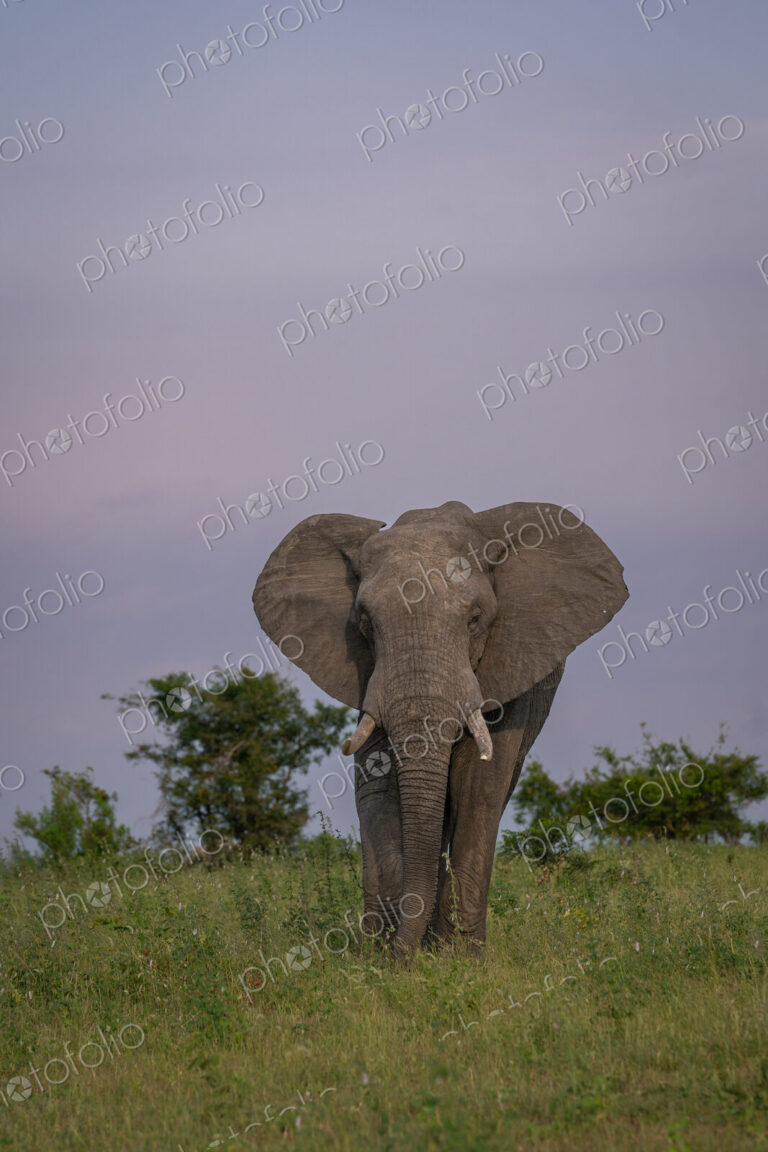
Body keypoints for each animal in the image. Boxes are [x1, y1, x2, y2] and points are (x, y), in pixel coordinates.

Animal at [252, 499, 628, 953]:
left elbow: (478, 786)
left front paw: (462, 957)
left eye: (475, 619)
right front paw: (380, 953)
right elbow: (377, 785)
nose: (400, 957)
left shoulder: (511, 661)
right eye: (366, 622)